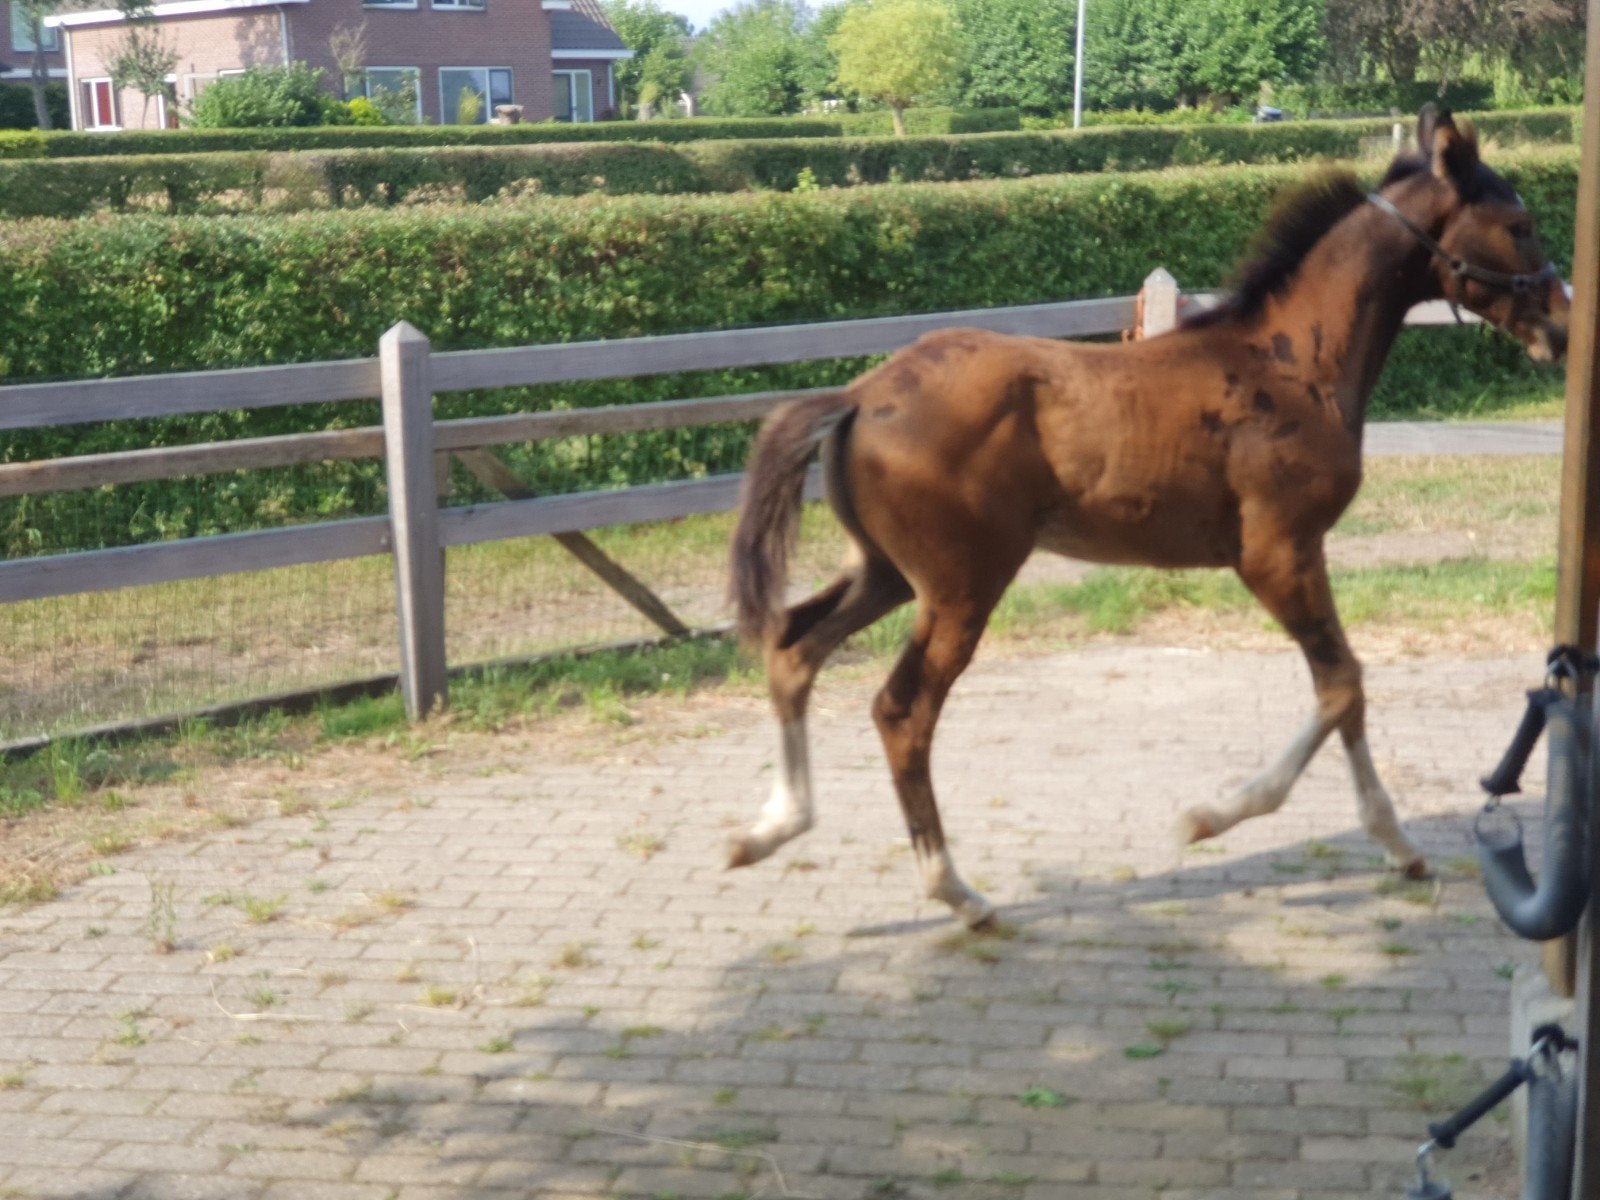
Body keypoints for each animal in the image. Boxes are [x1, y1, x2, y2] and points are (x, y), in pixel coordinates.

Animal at [726, 107, 1570, 929]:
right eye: (1519, 223)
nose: (1561, 324)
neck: (1292, 362)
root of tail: (857, 397)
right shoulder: (1279, 552)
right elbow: (1341, 685)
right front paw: (1217, 817)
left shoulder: (1299, 553)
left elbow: (1346, 689)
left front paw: (1396, 847)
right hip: (962, 587)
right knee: (901, 711)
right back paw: (956, 892)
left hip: (889, 573)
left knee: (794, 646)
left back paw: (769, 829)